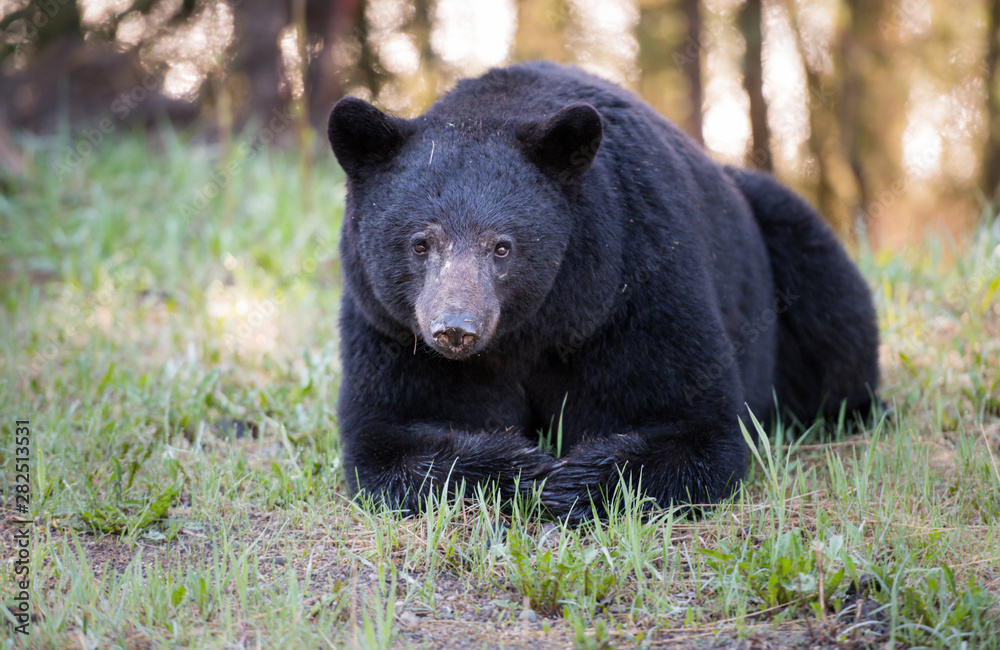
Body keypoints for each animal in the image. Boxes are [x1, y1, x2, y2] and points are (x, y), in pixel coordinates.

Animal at [327, 61, 880, 522]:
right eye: (420, 243)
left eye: (502, 246)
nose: (455, 329)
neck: (535, 327)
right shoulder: (391, 329)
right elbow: (390, 436)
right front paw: (521, 470)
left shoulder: (632, 286)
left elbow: (696, 423)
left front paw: (575, 480)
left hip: (782, 231)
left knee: (832, 313)